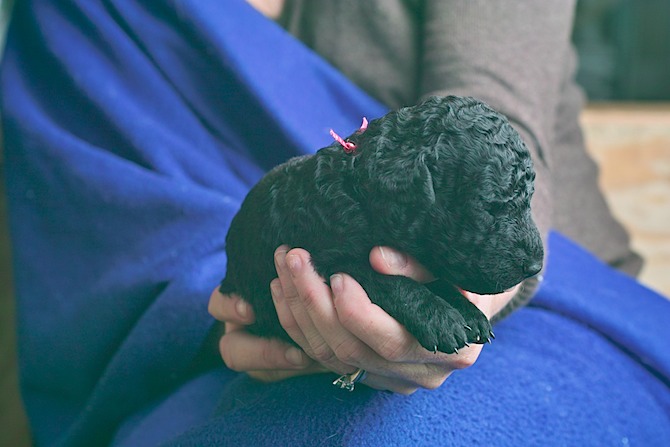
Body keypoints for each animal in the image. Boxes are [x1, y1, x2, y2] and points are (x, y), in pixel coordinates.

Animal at [220, 96, 544, 356]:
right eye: (490, 206)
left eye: (529, 199)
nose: (535, 267)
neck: (358, 190)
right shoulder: (332, 259)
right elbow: (393, 282)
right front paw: (440, 318)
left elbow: (436, 279)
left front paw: (469, 312)